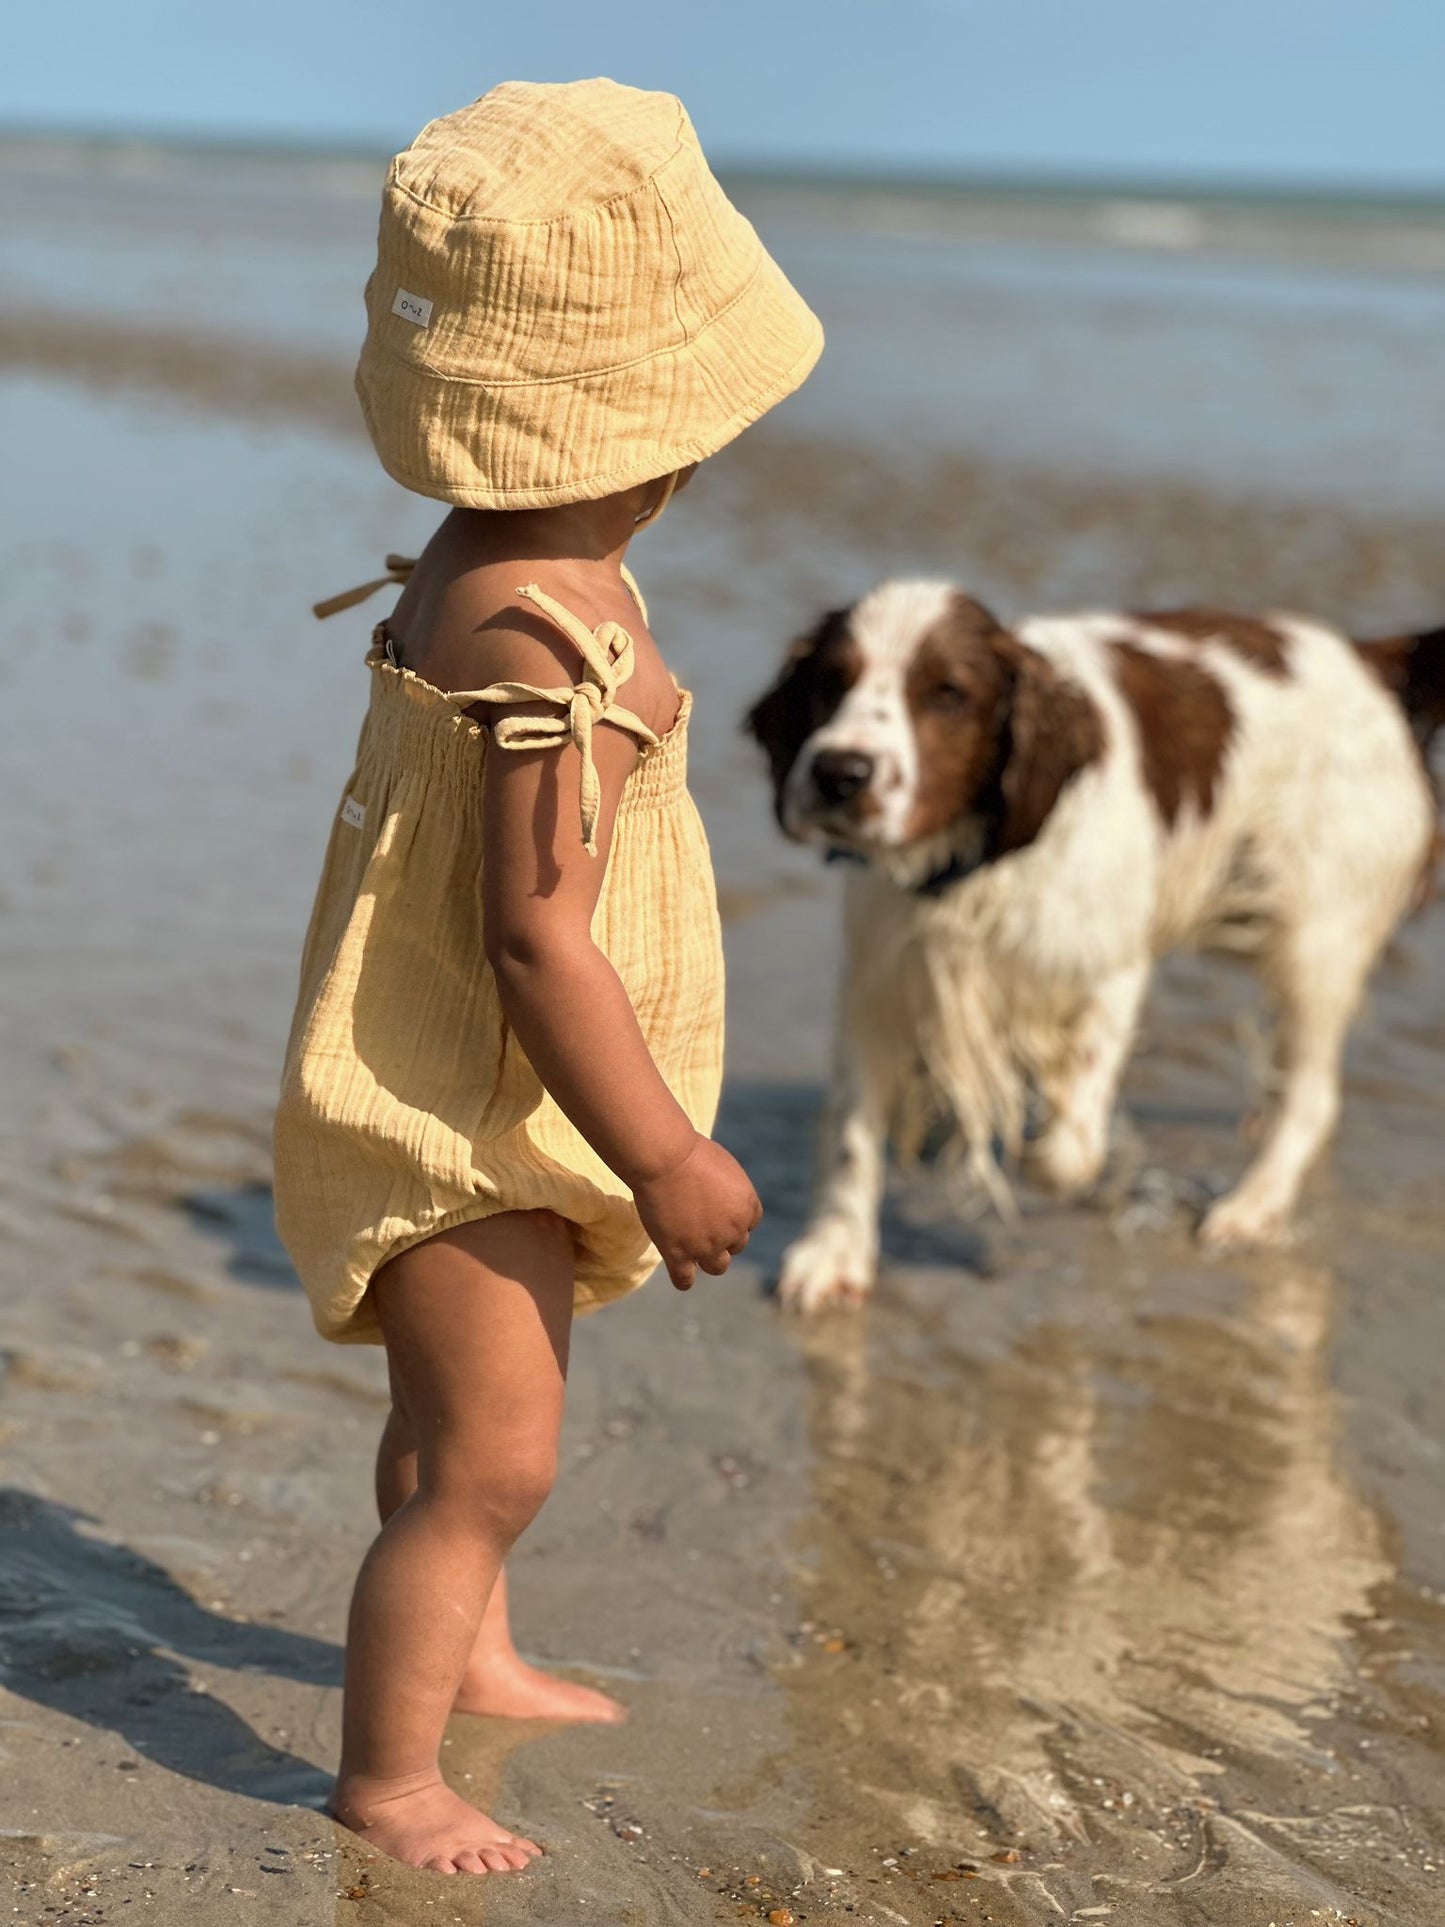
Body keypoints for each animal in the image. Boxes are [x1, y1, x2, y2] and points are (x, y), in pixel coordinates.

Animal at [751, 581, 1441, 1310]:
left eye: (948, 693)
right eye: (830, 681)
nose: (838, 772)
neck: (977, 863)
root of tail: (1372, 660)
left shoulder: (1105, 970)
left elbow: (1068, 1144)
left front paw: (1040, 1148)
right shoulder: (881, 981)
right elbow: (851, 1132)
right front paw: (834, 1253)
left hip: (1314, 940)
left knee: (1313, 1092)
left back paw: (1252, 1205)